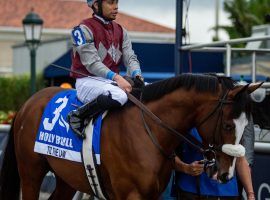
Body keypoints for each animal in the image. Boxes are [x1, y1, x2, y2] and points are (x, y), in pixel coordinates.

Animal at [0, 74, 262, 200]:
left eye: (246, 126)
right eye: (228, 125)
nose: (227, 174)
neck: (148, 130)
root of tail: (28, 103)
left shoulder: (152, 195)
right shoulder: (130, 195)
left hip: (67, 177)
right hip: (31, 173)